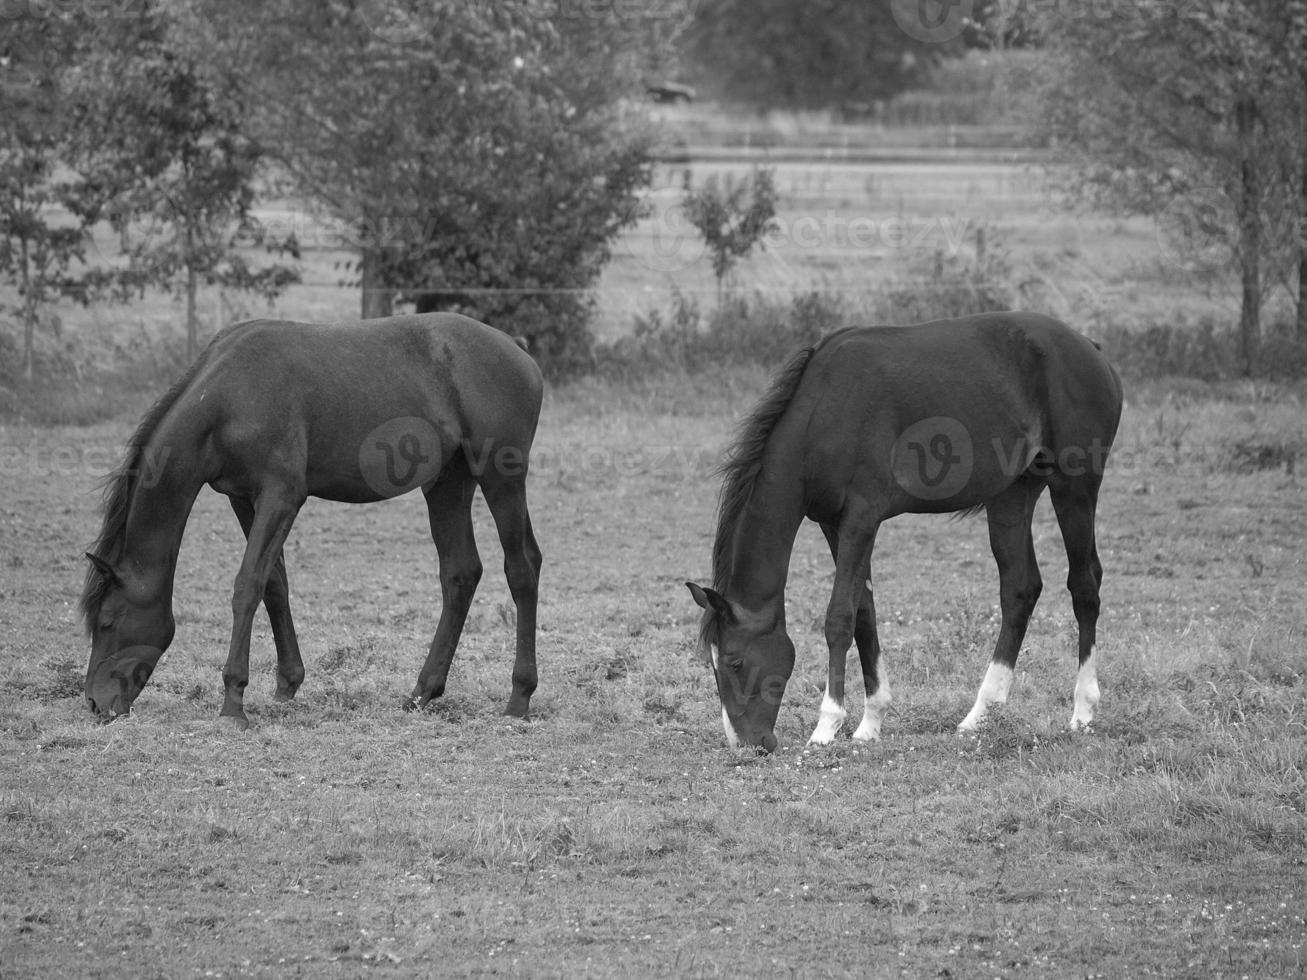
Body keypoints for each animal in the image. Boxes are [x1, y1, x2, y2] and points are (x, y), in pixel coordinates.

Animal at [81, 312, 543, 731]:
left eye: (106, 622)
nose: (95, 703)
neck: (227, 397)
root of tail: (519, 352)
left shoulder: (282, 497)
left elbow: (247, 586)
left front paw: (233, 703)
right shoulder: (243, 499)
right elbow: (273, 583)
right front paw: (287, 683)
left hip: (501, 478)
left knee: (522, 567)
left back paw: (518, 698)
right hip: (448, 483)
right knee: (460, 574)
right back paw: (422, 692)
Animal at [684, 314, 1124, 752]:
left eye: (736, 661)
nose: (747, 743)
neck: (824, 412)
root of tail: (1092, 349)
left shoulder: (862, 519)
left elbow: (839, 617)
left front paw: (827, 726)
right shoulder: (833, 525)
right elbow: (864, 613)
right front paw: (870, 722)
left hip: (1075, 489)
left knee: (1085, 585)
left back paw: (1083, 711)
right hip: (1012, 498)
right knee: (1020, 589)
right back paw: (980, 714)